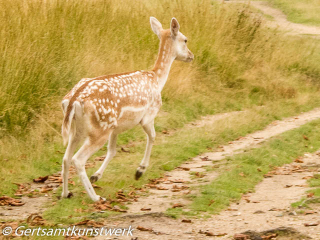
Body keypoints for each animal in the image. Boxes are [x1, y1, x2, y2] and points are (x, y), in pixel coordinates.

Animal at [61, 15, 194, 202]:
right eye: (185, 39)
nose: (191, 56)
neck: (156, 79)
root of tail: (73, 101)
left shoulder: (116, 128)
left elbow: (112, 151)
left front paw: (97, 176)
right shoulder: (149, 115)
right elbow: (153, 136)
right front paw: (139, 171)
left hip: (79, 130)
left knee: (66, 158)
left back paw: (66, 193)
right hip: (100, 129)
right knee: (77, 159)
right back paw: (96, 197)